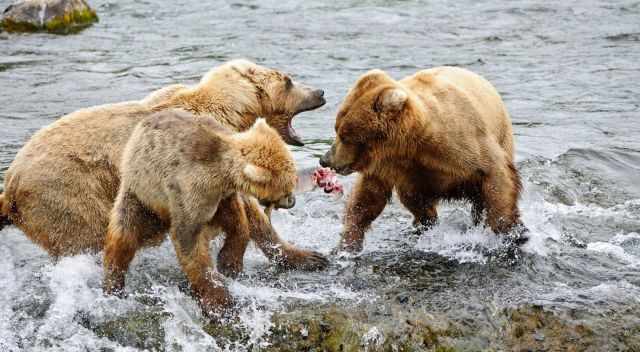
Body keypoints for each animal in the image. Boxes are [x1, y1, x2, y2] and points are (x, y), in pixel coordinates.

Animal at [0, 59, 328, 276]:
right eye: (288, 80)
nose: (321, 92)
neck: (232, 113)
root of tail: (10, 185)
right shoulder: (211, 163)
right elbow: (249, 213)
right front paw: (306, 256)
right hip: (66, 192)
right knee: (88, 234)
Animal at [104, 111, 298, 314]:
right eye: (287, 187)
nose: (292, 201)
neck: (221, 172)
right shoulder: (190, 187)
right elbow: (189, 239)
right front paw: (219, 300)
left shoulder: (222, 196)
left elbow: (237, 223)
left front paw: (229, 263)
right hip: (142, 193)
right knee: (124, 236)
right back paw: (114, 285)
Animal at [320, 66, 524, 253]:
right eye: (337, 128)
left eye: (345, 136)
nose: (325, 159)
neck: (410, 142)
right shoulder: (389, 164)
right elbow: (366, 198)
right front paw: (346, 244)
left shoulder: (463, 143)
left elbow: (495, 175)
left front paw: (509, 233)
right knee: (416, 200)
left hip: (502, 135)